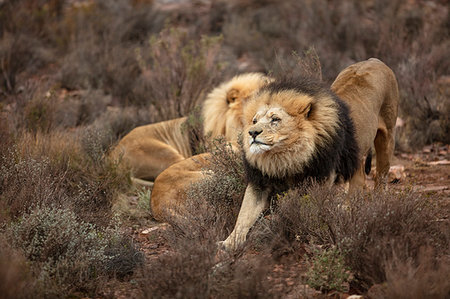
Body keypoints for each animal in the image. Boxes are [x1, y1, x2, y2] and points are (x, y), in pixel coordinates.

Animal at [220, 58, 400, 251]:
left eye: (275, 119)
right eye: (254, 121)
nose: (252, 133)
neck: (284, 157)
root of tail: (375, 60)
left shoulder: (320, 179)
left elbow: (309, 211)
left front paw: (305, 235)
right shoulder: (260, 181)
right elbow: (245, 214)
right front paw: (229, 243)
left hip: (387, 137)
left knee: (381, 177)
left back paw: (377, 206)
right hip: (357, 158)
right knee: (358, 181)